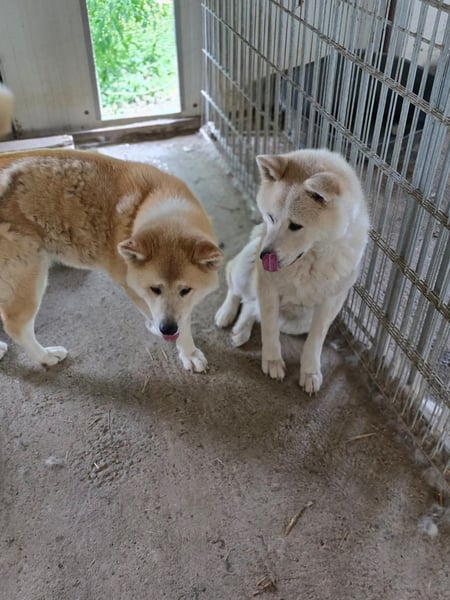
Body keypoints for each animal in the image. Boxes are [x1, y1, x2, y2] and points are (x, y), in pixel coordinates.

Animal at [0, 148, 223, 372]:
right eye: (154, 289)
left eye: (185, 290)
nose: (167, 329)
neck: (149, 202)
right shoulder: (131, 286)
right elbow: (174, 321)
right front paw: (186, 350)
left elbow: (182, 318)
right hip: (29, 275)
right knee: (16, 327)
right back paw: (45, 356)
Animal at [215, 149, 369, 393]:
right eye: (271, 217)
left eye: (295, 225)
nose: (264, 255)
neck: (309, 260)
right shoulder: (268, 286)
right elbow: (269, 328)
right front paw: (272, 361)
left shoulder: (332, 301)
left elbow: (315, 340)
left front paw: (310, 372)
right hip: (246, 265)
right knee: (236, 286)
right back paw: (227, 314)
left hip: (297, 323)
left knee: (252, 306)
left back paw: (241, 329)